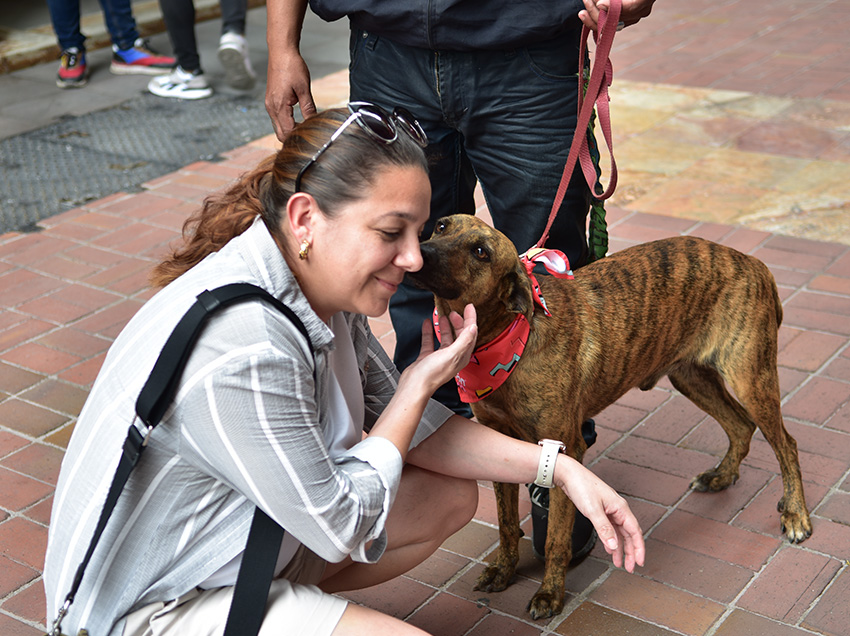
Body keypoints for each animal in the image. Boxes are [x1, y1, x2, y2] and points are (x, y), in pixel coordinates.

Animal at [408, 215, 812, 620]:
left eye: (481, 251)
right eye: (440, 226)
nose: (421, 253)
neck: (508, 337)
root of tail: (753, 263)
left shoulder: (566, 450)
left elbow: (556, 538)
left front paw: (550, 593)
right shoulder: (497, 439)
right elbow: (506, 524)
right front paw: (504, 570)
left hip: (750, 378)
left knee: (786, 444)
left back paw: (795, 513)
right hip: (691, 375)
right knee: (741, 426)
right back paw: (722, 477)